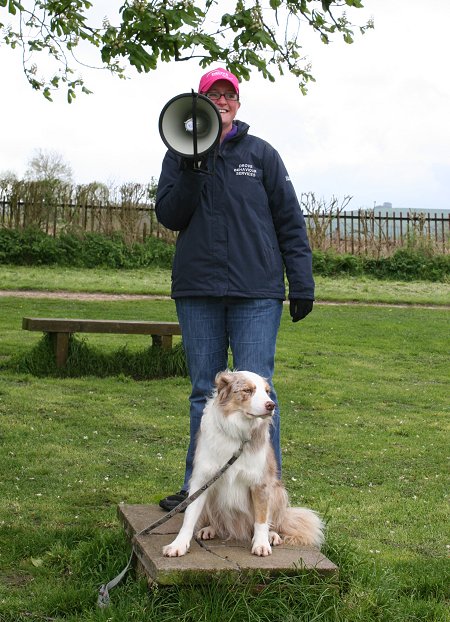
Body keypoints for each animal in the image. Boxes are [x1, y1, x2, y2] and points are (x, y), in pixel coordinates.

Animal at [162, 370, 324, 560]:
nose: (271, 405)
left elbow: (261, 519)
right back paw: (209, 529)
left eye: (267, 391)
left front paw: (261, 544)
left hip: (278, 491)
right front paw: (178, 545)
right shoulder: (202, 480)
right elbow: (189, 516)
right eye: (247, 390)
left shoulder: (260, 483)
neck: (238, 434)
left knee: (270, 521)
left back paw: (271, 535)